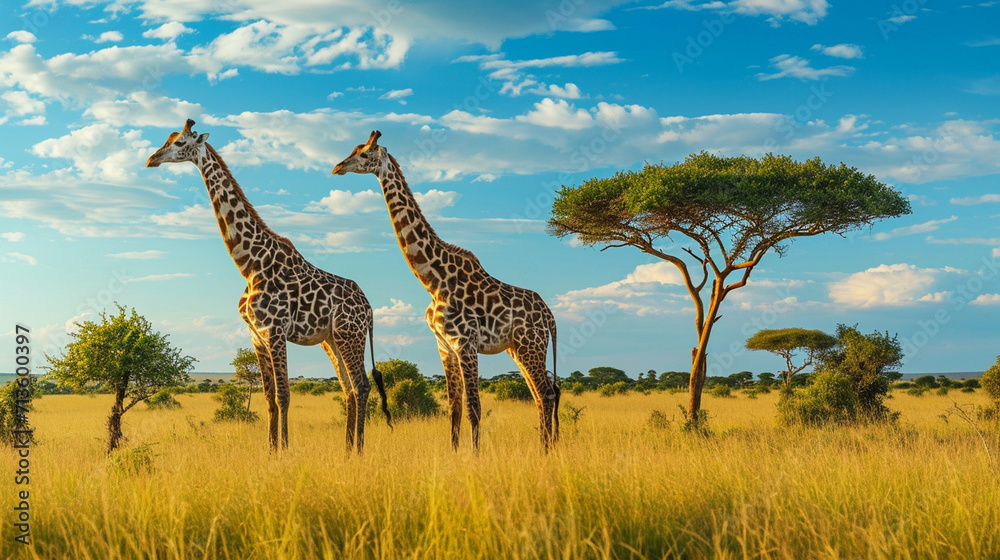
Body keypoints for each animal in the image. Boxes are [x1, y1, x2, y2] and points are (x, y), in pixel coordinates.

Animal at [146, 119, 390, 453]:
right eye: (167, 139)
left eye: (180, 142)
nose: (151, 159)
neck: (249, 264)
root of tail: (369, 309)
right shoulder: (256, 336)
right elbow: (268, 398)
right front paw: (271, 449)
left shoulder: (274, 331)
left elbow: (284, 395)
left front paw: (284, 450)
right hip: (332, 340)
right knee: (349, 388)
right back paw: (347, 447)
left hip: (350, 335)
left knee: (362, 386)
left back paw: (358, 450)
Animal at [332, 131, 560, 451]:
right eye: (352, 150)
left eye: (364, 154)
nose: (338, 167)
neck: (434, 281)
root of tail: (550, 316)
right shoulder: (444, 345)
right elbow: (454, 408)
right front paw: (455, 454)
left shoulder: (466, 343)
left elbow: (474, 407)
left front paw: (476, 457)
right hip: (517, 348)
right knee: (541, 393)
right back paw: (546, 446)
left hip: (532, 345)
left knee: (547, 393)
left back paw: (546, 450)